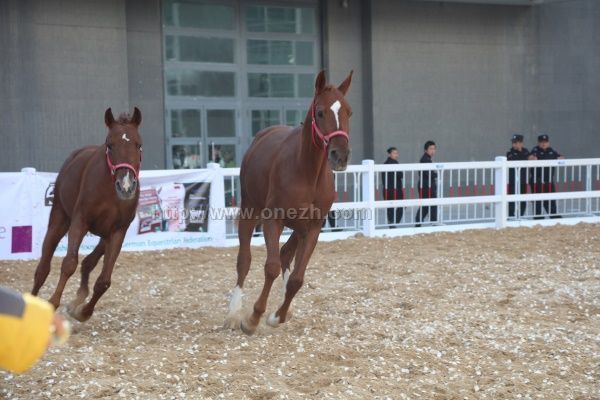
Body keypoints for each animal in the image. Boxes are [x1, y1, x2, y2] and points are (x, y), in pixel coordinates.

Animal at [33, 108, 144, 320]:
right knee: (43, 268)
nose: (126, 186)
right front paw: (53, 302)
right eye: (110, 145)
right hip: (59, 218)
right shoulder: (80, 222)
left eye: (138, 144)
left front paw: (83, 311)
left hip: (104, 236)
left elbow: (104, 280)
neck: (109, 192)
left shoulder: (118, 231)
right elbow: (69, 263)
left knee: (88, 262)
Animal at [224, 71, 352, 334]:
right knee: (244, 261)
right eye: (320, 112)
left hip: (298, 227)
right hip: (250, 209)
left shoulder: (313, 227)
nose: (340, 155)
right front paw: (252, 318)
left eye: (349, 112)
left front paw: (277, 315)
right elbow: (270, 267)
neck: (307, 172)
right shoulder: (273, 220)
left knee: (285, 255)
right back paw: (233, 313)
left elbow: (297, 279)